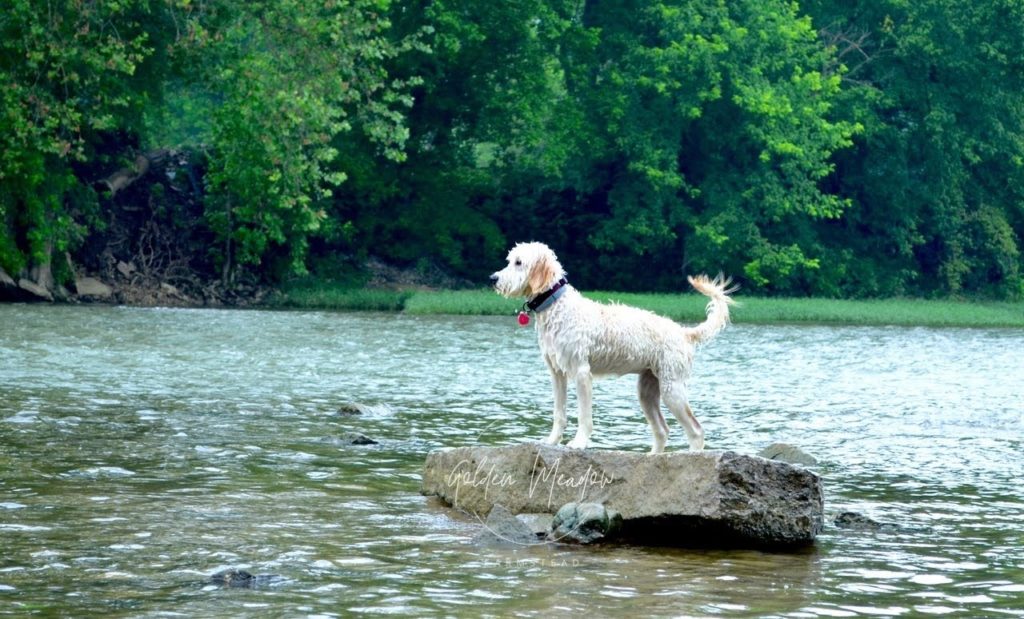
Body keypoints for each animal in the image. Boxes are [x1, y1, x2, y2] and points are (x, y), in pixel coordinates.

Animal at [489, 242, 737, 455]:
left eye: (519, 262)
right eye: (510, 260)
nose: (493, 278)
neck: (558, 306)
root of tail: (684, 333)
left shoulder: (581, 373)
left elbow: (584, 416)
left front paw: (578, 443)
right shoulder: (557, 373)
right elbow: (559, 414)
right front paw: (551, 441)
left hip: (672, 388)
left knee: (695, 431)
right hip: (647, 392)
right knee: (662, 431)